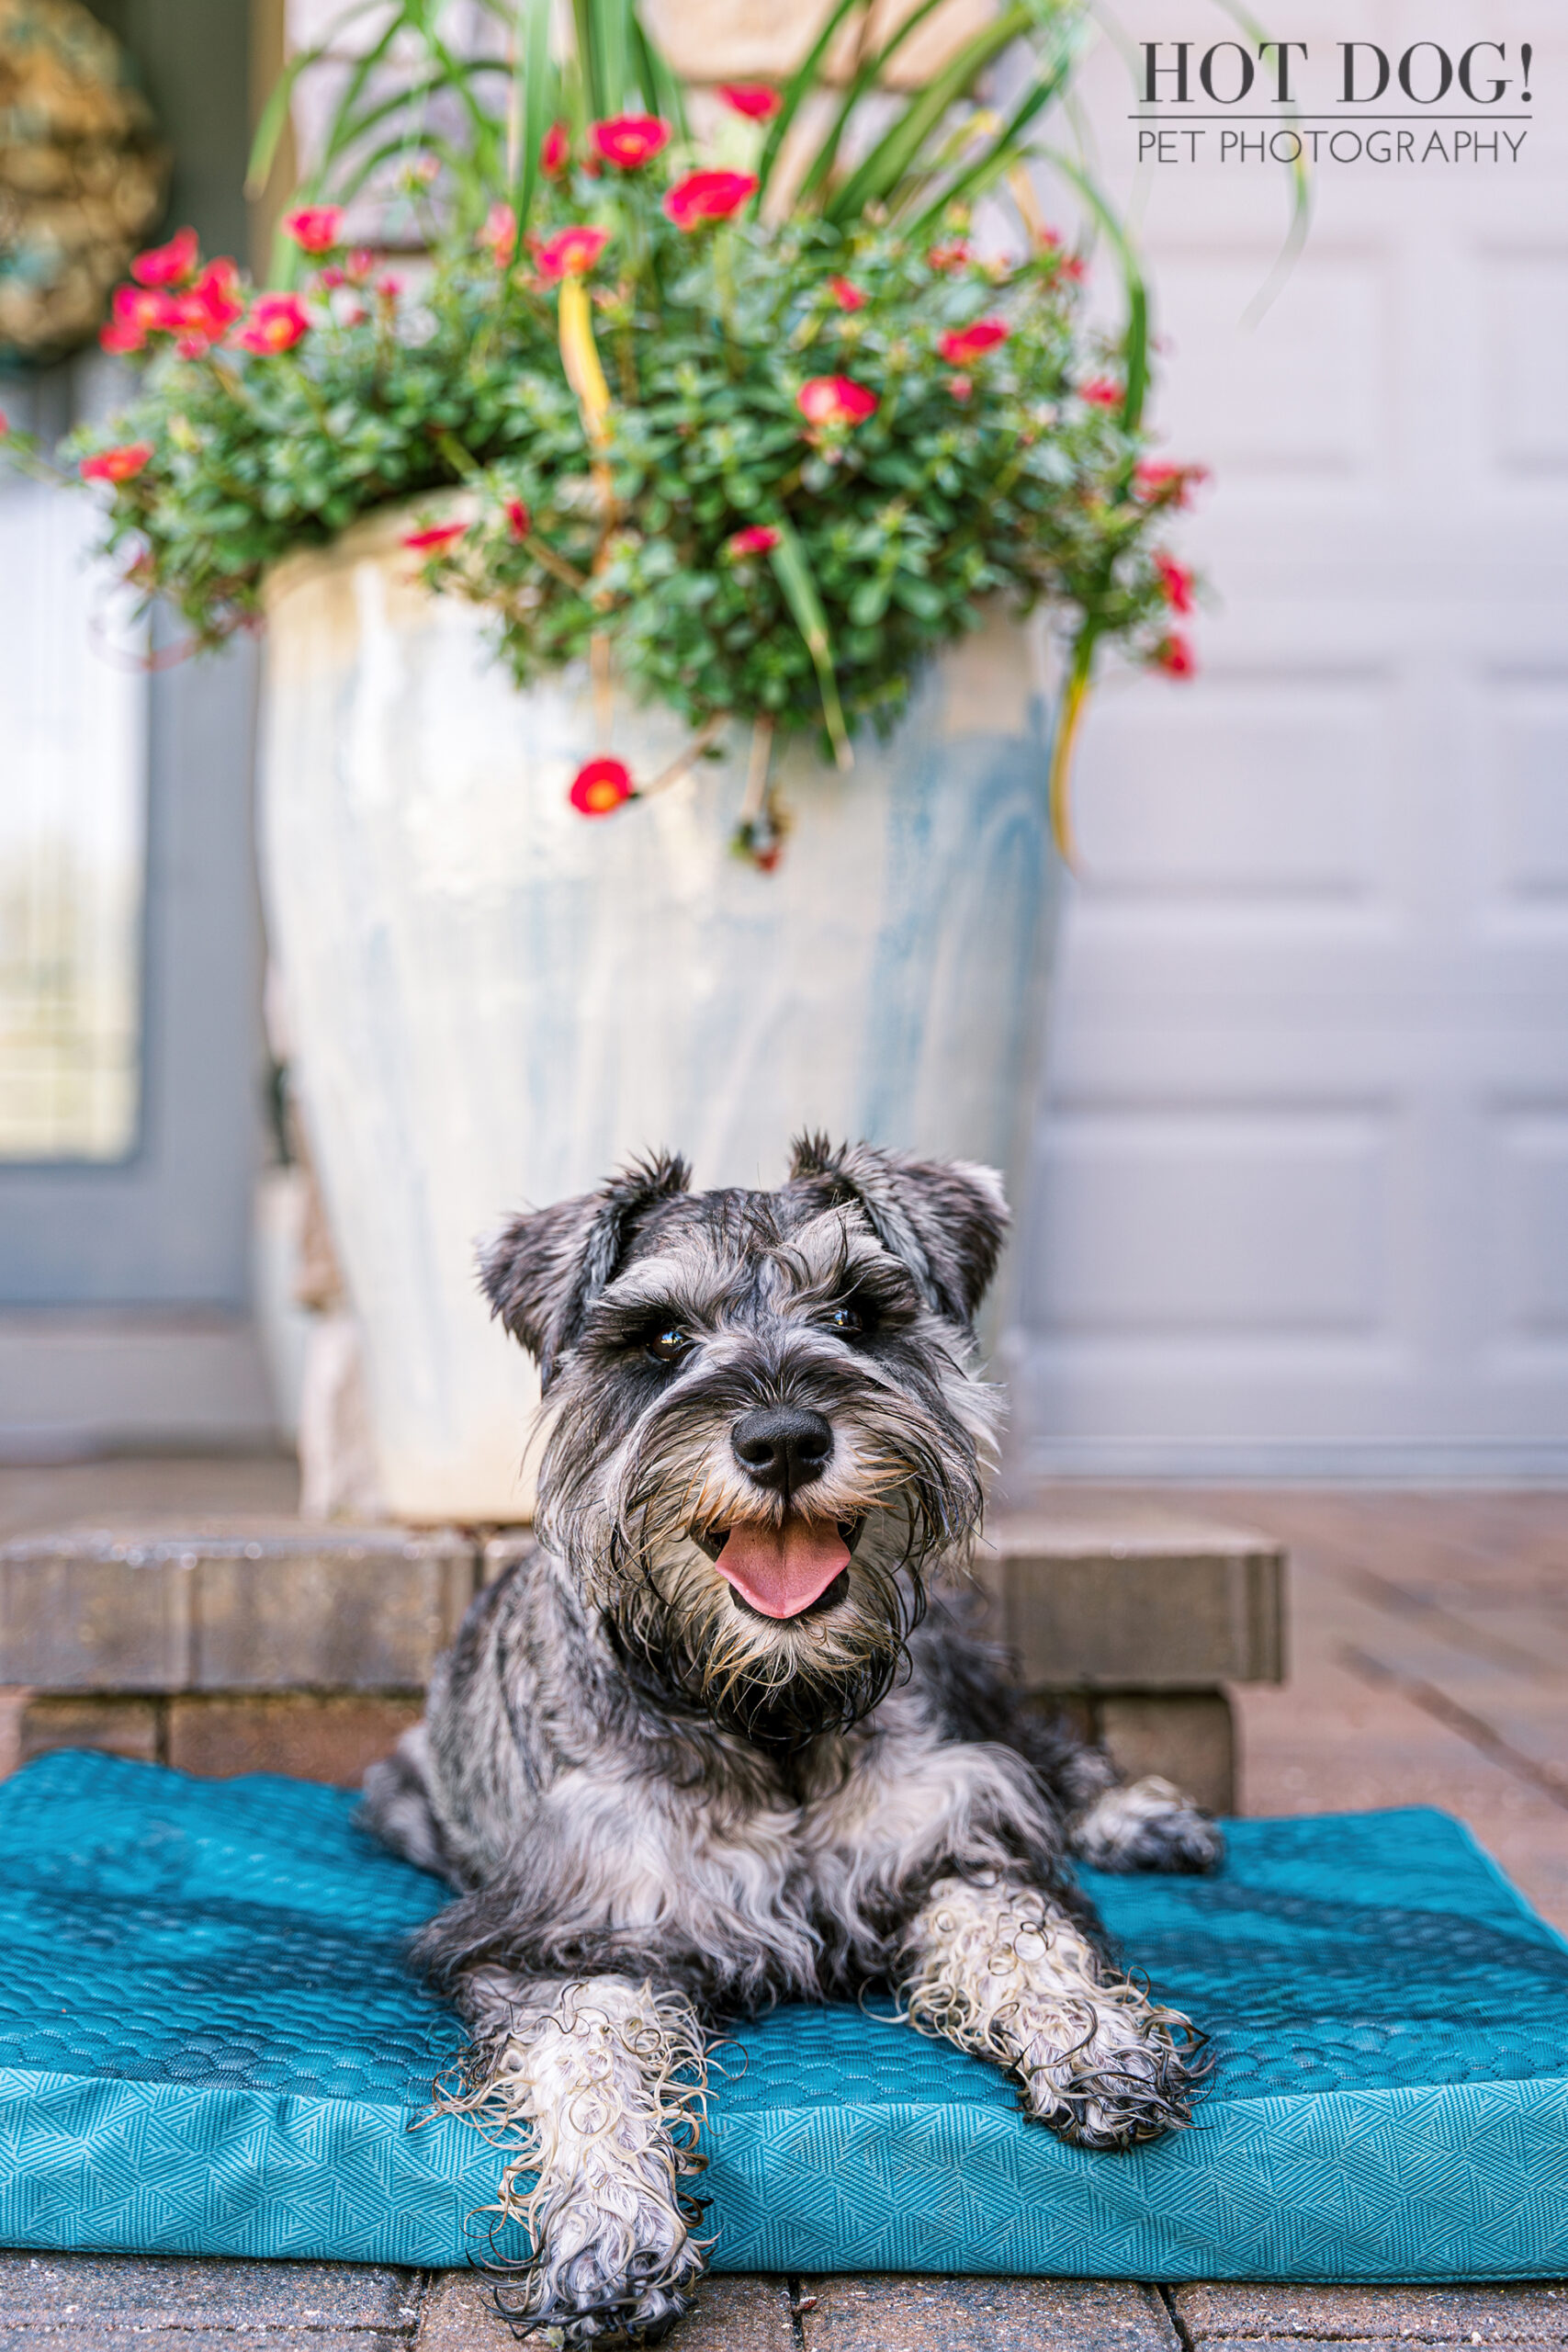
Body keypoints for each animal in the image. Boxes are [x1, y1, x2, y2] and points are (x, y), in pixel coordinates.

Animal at [364, 1133, 1213, 2333]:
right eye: (664, 1338)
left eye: (856, 1312)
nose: (782, 1438)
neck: (770, 1710)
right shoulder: (573, 1933)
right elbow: (586, 2057)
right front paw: (608, 2224)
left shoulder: (945, 1837)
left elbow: (1016, 1928)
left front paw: (1093, 2036)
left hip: (961, 1665)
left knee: (1046, 1740)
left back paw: (1140, 1812)